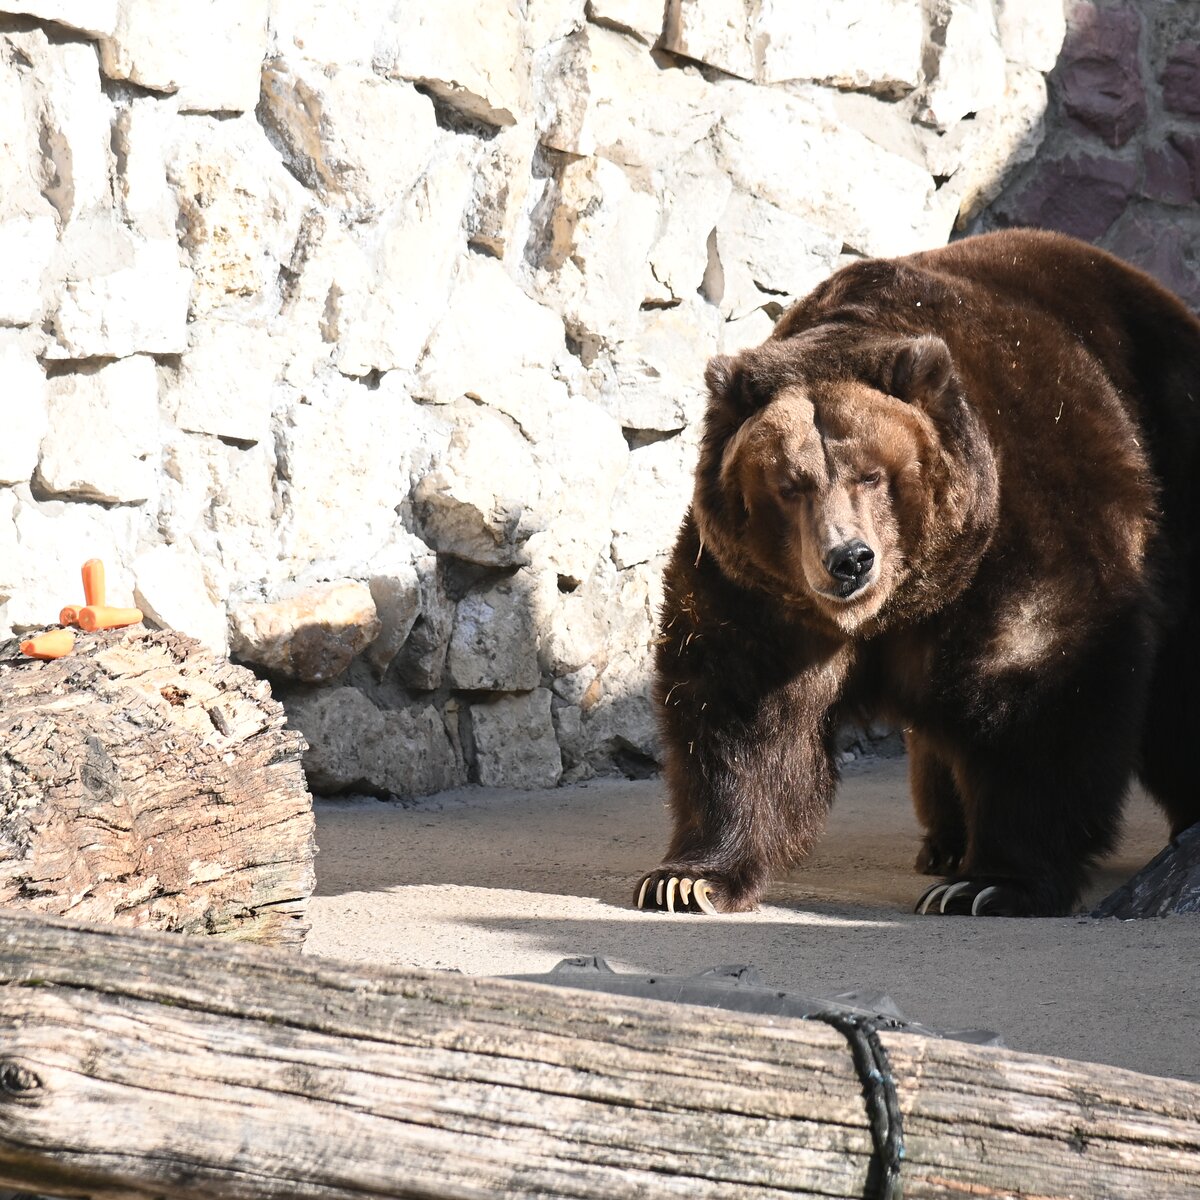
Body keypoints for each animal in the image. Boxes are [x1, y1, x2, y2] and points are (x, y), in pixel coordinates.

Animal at [643, 226, 1200, 916]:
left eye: (870, 474)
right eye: (791, 484)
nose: (849, 559)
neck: (905, 601)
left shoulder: (1023, 531)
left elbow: (1041, 687)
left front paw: (989, 884)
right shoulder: (758, 593)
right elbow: (742, 714)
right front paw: (688, 878)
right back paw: (943, 842)